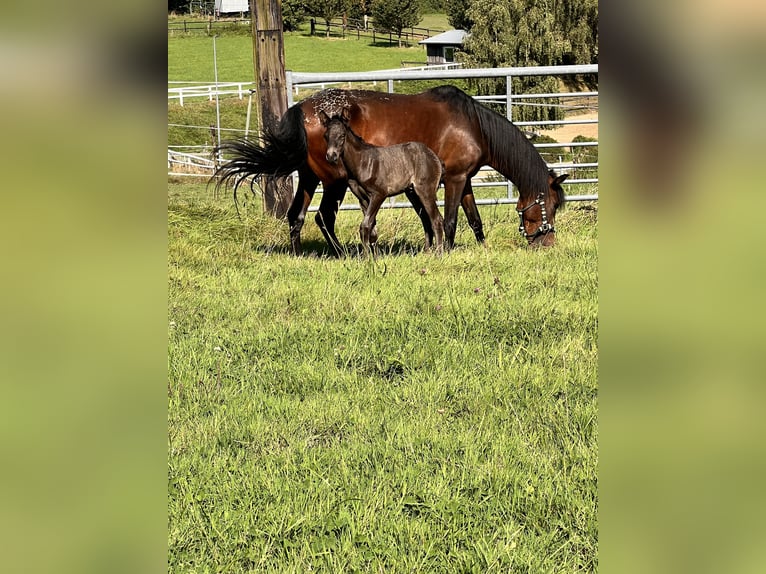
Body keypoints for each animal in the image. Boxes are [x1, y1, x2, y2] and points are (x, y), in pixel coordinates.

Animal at [320, 110, 445, 255]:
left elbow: (365, 225)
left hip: (425, 191)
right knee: (426, 219)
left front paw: (367, 257)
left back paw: (438, 254)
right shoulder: (363, 199)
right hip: (412, 193)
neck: (362, 163)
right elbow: (371, 228)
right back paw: (427, 252)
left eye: (342, 135)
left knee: (436, 220)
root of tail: (435, 157)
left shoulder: (379, 194)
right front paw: (374, 255)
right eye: (325, 136)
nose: (331, 156)